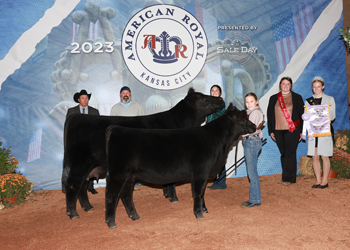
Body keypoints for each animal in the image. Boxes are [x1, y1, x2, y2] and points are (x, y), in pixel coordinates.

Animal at [62, 88, 221, 219]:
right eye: (202, 98)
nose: (219, 99)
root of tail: (76, 116)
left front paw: (167, 195)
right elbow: (172, 182)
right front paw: (173, 198)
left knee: (82, 185)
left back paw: (87, 207)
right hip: (80, 163)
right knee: (73, 185)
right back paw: (73, 213)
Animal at [104, 103, 254, 229]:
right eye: (244, 118)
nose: (254, 126)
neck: (219, 142)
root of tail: (115, 129)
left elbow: (202, 193)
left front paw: (204, 209)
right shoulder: (200, 172)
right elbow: (198, 192)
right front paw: (199, 213)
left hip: (130, 176)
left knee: (126, 194)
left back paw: (135, 216)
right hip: (118, 173)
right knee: (112, 194)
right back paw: (111, 222)